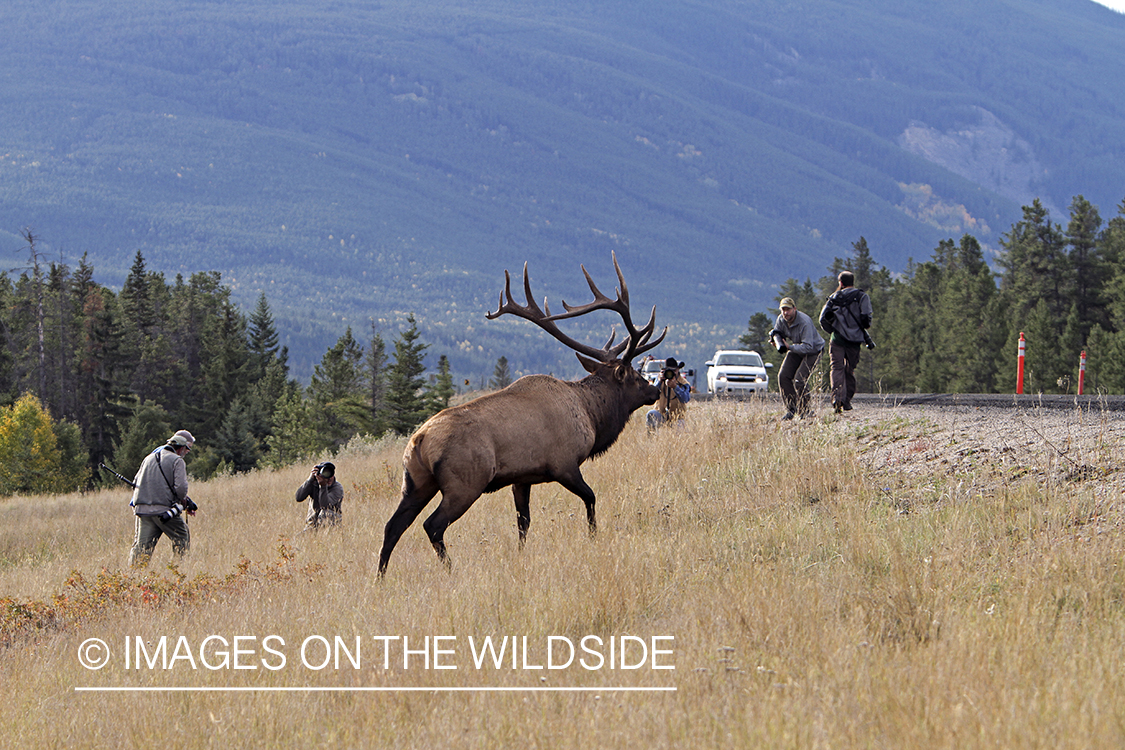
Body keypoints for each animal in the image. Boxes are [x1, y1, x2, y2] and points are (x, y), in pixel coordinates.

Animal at [380, 254, 666, 575]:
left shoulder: (522, 477)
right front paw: (593, 537)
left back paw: (380, 577)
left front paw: (520, 554)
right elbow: (591, 498)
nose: (655, 391)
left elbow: (523, 523)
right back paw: (450, 569)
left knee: (392, 527)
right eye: (634, 376)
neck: (592, 417)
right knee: (432, 525)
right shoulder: (564, 464)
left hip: (415, 483)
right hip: (464, 482)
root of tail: (419, 441)